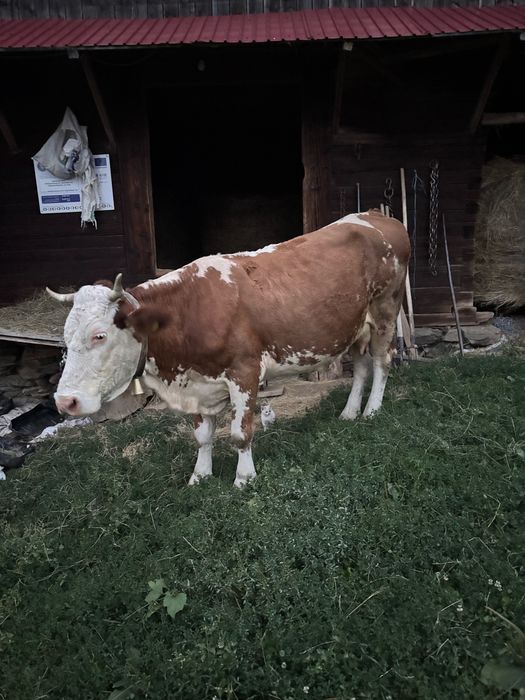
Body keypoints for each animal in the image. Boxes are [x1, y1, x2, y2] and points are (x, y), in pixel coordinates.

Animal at [47, 210, 410, 488]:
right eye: (65, 336)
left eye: (99, 336)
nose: (65, 401)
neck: (189, 311)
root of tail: (377, 216)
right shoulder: (196, 382)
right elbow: (202, 435)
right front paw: (200, 476)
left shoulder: (244, 372)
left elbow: (239, 432)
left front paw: (244, 478)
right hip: (355, 326)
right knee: (360, 365)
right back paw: (350, 412)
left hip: (385, 311)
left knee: (382, 361)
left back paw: (372, 410)